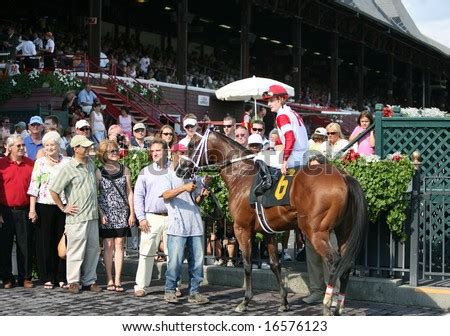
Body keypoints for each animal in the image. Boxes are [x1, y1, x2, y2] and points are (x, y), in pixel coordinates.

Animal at [175, 129, 366, 316]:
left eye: (191, 145)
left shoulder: (241, 228)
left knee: (334, 261)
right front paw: (283, 302)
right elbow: (275, 264)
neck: (241, 175)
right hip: (343, 231)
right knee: (346, 264)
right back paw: (339, 306)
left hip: (316, 231)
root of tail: (344, 176)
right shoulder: (268, 232)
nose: (179, 169)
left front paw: (245, 301)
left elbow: (247, 263)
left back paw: (327, 304)